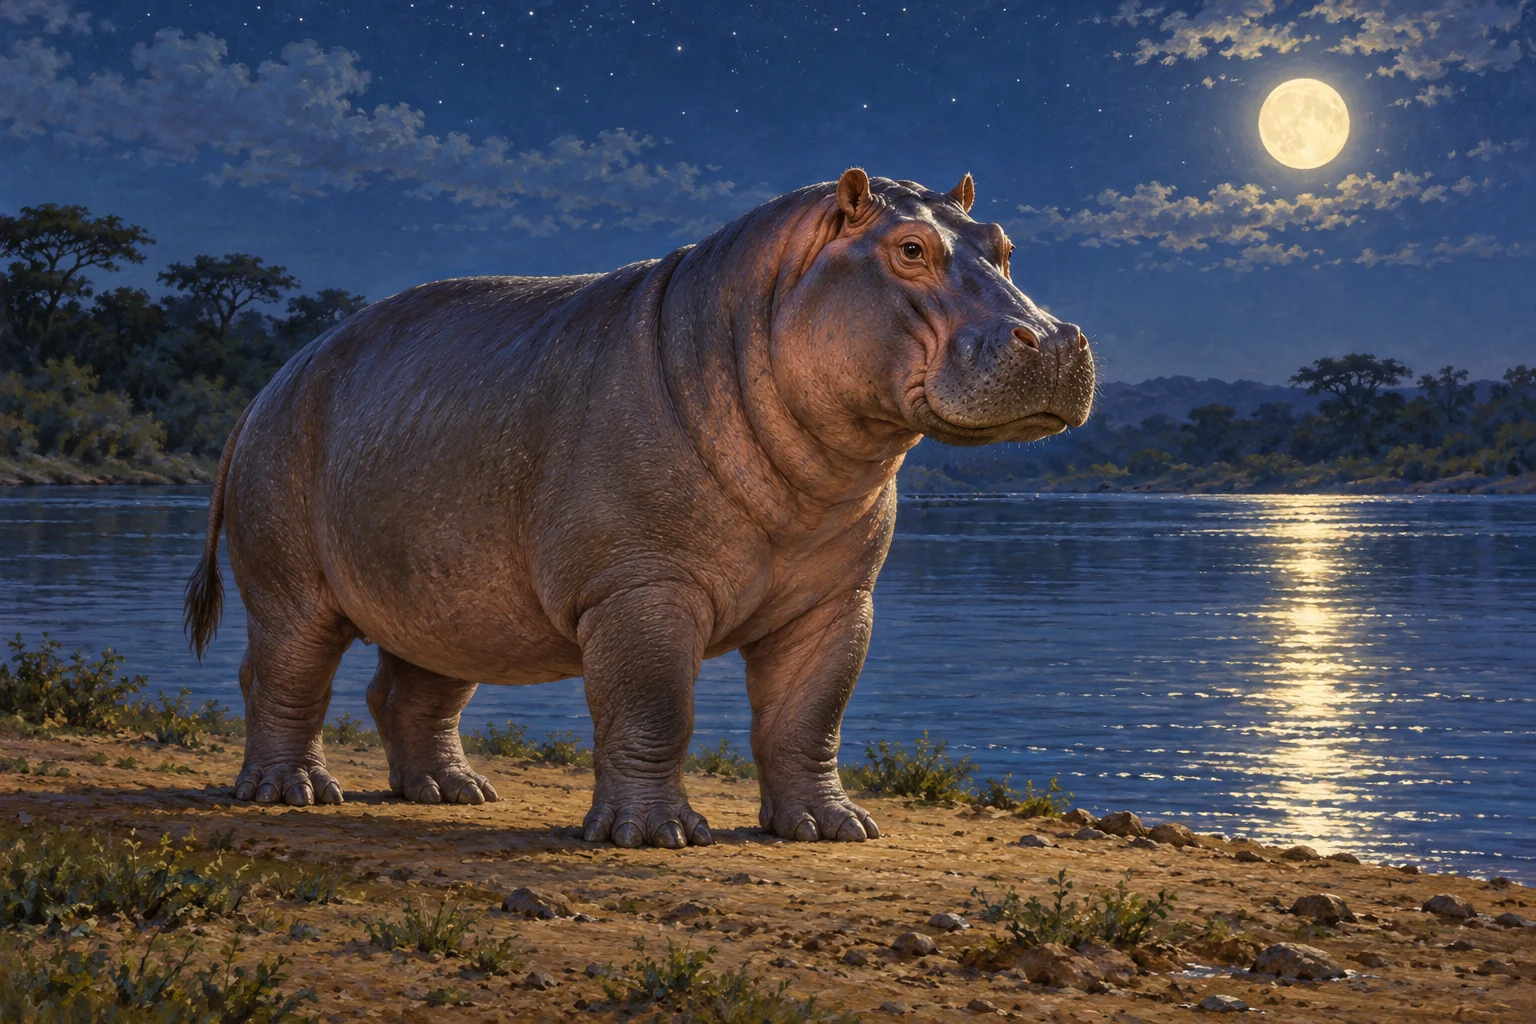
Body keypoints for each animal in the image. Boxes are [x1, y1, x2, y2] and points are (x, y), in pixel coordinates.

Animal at [185, 169, 1095, 849]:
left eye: (1005, 247)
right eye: (909, 249)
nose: (1056, 339)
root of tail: (270, 384)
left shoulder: (840, 603)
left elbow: (811, 716)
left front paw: (832, 828)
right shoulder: (640, 587)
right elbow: (655, 706)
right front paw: (660, 836)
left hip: (448, 587)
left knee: (412, 690)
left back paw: (455, 792)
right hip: (293, 581)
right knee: (283, 672)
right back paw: (293, 793)